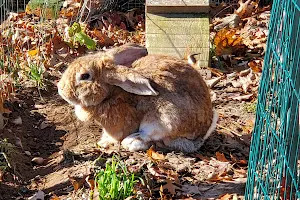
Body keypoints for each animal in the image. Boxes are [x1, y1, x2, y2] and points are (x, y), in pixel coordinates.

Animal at [57, 43, 218, 152]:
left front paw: (105, 143)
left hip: (164, 119)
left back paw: (132, 141)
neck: (111, 93)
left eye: (85, 76)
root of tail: (201, 135)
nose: (61, 89)